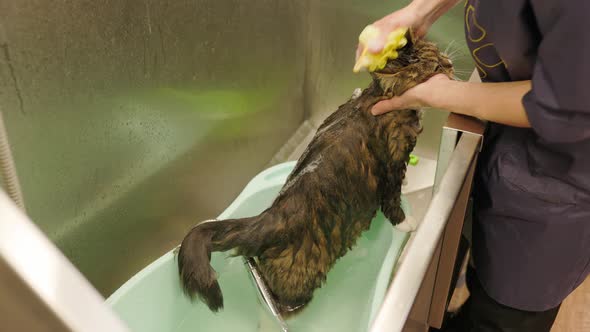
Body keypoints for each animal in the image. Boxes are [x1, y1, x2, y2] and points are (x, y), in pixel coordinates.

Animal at [178, 33, 456, 314]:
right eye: (435, 67)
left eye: (439, 54)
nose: (451, 64)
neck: (379, 99)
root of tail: (271, 217)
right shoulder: (391, 162)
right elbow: (392, 197)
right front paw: (405, 222)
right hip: (300, 278)